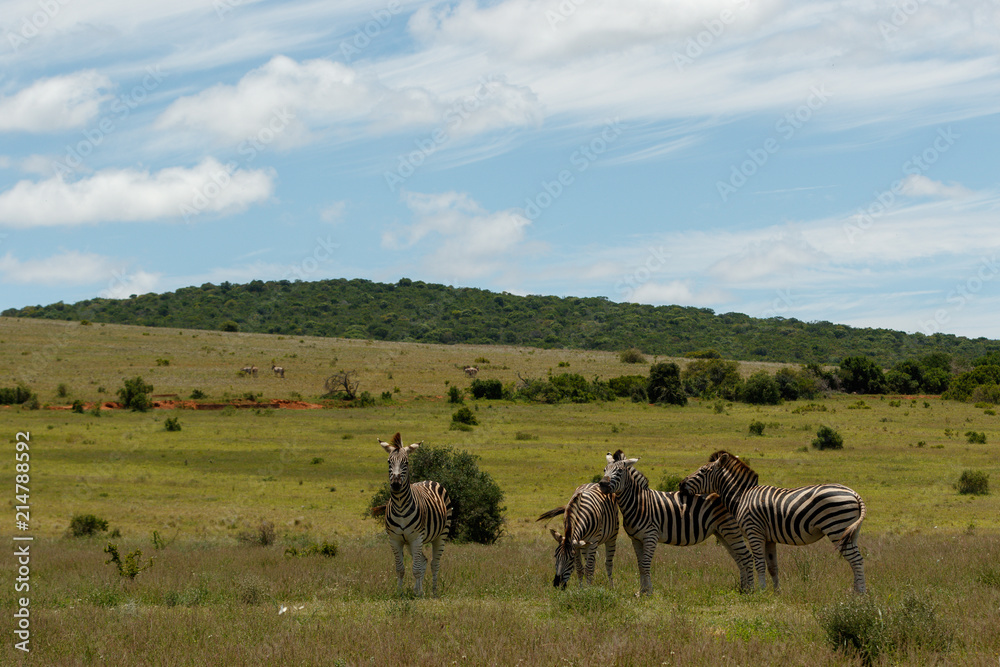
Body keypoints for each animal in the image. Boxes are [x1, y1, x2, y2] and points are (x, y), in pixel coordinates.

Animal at [378, 433, 453, 597]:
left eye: (406, 462)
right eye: (389, 462)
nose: (396, 485)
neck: (400, 505)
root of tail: (429, 480)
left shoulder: (417, 538)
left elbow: (416, 569)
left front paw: (418, 595)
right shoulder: (395, 539)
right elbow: (400, 569)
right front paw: (400, 593)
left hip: (441, 534)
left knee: (434, 563)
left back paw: (433, 592)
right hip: (409, 542)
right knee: (424, 560)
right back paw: (419, 590)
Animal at [599, 450, 754, 595]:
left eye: (619, 471)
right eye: (604, 470)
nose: (602, 484)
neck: (639, 503)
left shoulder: (651, 536)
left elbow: (645, 564)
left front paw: (648, 592)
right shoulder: (636, 539)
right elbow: (640, 565)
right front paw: (641, 591)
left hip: (731, 529)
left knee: (746, 556)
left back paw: (750, 591)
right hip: (722, 532)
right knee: (738, 557)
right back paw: (743, 588)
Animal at [679, 450, 867, 593]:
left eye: (702, 471)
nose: (680, 484)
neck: (742, 496)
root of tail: (854, 493)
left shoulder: (754, 532)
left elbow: (760, 564)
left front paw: (761, 592)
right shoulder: (769, 538)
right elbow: (772, 566)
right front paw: (776, 593)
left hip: (836, 527)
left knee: (856, 560)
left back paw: (860, 595)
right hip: (850, 532)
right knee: (855, 560)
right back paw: (855, 592)